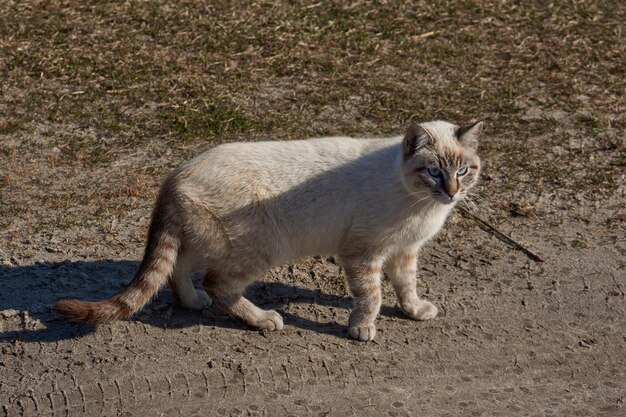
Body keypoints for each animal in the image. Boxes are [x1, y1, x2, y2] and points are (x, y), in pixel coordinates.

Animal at [54, 118, 482, 340]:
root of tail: (177, 173)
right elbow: (372, 297)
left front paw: (413, 310)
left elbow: (406, 287)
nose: (452, 192)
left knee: (179, 271)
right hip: (262, 248)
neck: (421, 204)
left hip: (203, 240)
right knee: (218, 284)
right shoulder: (363, 254)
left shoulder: (404, 252)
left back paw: (192, 302)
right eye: (433, 173)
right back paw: (262, 319)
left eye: (463, 170)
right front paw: (363, 328)